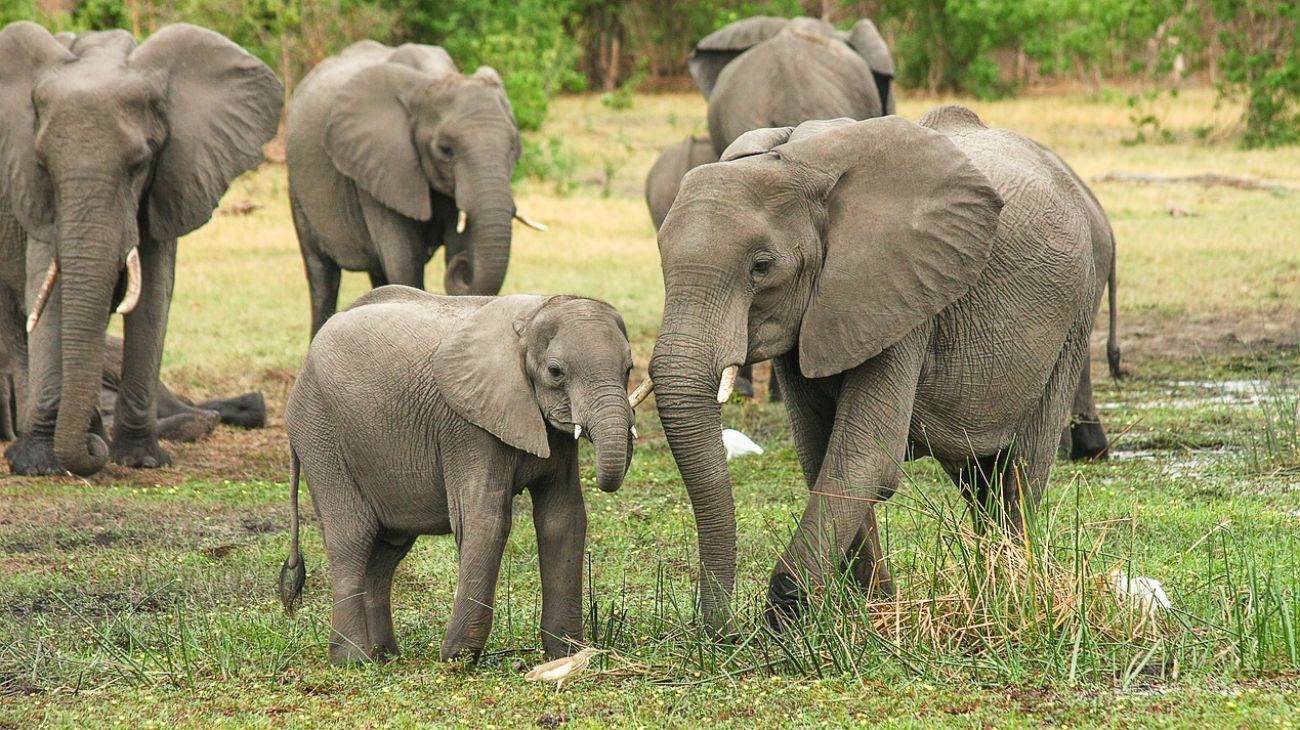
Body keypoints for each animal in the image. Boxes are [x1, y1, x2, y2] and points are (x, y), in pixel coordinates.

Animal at [0, 22, 283, 475]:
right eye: (43, 165)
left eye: (138, 165)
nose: (91, 453)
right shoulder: (32, 195)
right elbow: (49, 294)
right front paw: (38, 464)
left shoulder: (171, 178)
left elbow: (152, 298)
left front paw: (141, 459)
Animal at [279, 287, 634, 662]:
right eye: (555, 372)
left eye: (629, 369)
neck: (532, 316)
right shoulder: (466, 426)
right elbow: (487, 521)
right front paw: (457, 659)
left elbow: (563, 519)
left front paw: (565, 655)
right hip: (320, 432)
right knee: (352, 538)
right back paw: (353, 660)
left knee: (387, 551)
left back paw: (386, 656)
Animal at [288, 39, 543, 335]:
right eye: (445, 150)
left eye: (513, 146)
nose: (464, 267)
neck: (434, 79)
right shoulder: (381, 165)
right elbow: (403, 261)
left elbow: (455, 244)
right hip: (297, 188)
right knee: (322, 277)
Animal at [639, 103, 1107, 631]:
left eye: (761, 267)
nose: (723, 632)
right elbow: (821, 453)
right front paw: (871, 610)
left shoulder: (902, 294)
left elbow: (863, 458)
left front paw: (788, 618)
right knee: (977, 478)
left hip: (1074, 314)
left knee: (1020, 468)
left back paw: (1010, 593)